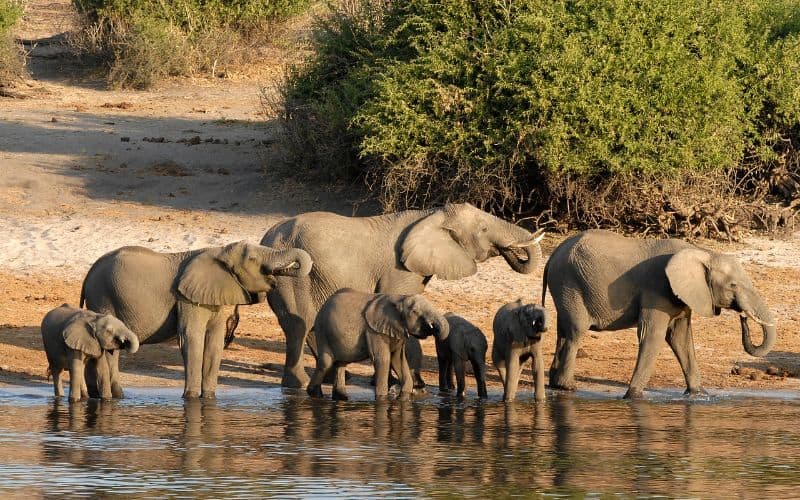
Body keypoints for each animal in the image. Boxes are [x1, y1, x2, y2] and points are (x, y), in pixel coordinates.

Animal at [80, 241, 312, 398]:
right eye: (253, 259)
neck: (219, 251)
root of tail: (88, 273)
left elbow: (215, 343)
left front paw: (208, 398)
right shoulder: (187, 299)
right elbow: (191, 339)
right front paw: (190, 399)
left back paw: (110, 397)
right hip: (102, 296)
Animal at [310, 288, 450, 400]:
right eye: (415, 311)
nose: (432, 328)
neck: (400, 299)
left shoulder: (398, 330)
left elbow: (398, 360)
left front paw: (403, 397)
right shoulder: (374, 331)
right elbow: (383, 359)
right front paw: (382, 399)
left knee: (340, 363)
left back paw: (341, 398)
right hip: (322, 330)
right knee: (326, 363)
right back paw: (315, 396)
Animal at [544, 229, 776, 398]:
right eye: (733, 285)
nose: (743, 316)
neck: (702, 253)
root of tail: (553, 254)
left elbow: (680, 338)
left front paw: (699, 394)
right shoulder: (656, 289)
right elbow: (653, 335)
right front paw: (633, 396)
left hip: (565, 287)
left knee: (562, 331)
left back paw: (555, 384)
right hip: (569, 283)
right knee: (575, 332)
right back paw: (567, 387)